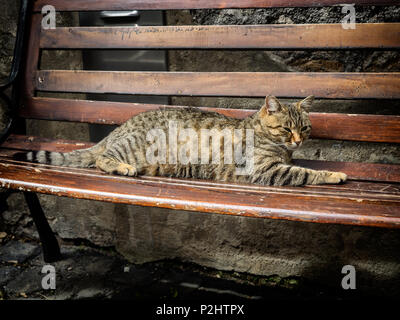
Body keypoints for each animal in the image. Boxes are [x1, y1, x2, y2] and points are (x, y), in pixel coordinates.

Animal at [22, 94, 346, 185]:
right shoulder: (264, 170)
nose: (298, 141)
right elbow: (304, 172)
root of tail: (119, 128)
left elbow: (299, 166)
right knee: (102, 158)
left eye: (304, 129)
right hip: (130, 147)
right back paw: (122, 167)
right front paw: (334, 174)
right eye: (286, 129)